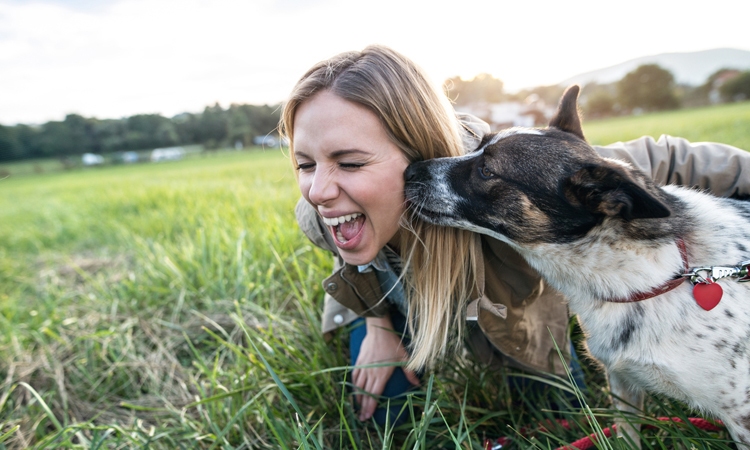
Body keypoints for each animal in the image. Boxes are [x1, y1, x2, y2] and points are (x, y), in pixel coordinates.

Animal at [408, 85, 750, 446]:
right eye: (476, 146)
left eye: (487, 170)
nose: (408, 171)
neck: (664, 273)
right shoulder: (623, 385)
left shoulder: (741, 415)